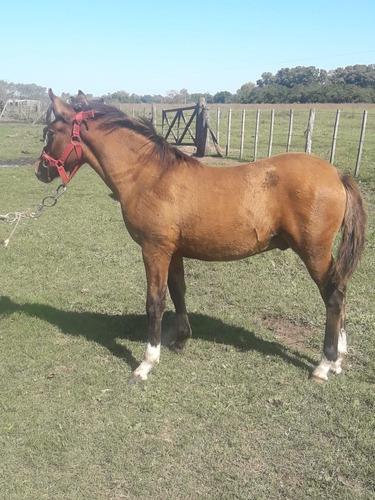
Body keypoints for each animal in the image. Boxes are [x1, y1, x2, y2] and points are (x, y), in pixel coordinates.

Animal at [35, 91, 368, 382]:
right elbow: (178, 291)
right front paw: (181, 339)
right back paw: (338, 359)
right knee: (340, 289)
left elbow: (155, 301)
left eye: (50, 132)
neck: (150, 176)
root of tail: (337, 174)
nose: (41, 172)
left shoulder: (154, 250)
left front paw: (146, 363)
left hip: (314, 252)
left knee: (333, 296)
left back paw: (324, 364)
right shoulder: (174, 251)